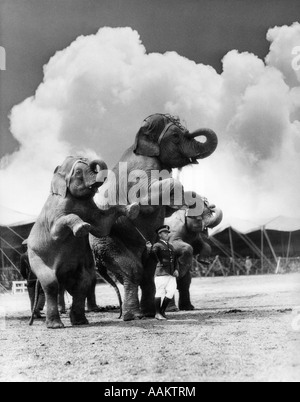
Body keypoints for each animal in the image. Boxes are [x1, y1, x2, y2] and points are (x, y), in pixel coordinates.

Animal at [27, 155, 138, 328]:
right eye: (78, 171)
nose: (91, 161)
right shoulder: (54, 213)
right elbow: (57, 231)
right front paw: (83, 227)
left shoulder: (91, 208)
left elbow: (102, 226)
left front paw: (133, 208)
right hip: (35, 257)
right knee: (51, 284)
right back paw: (56, 325)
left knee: (83, 283)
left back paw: (80, 322)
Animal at [91, 112, 218, 320]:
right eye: (175, 135)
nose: (190, 130)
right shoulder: (142, 169)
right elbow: (150, 194)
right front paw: (134, 207)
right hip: (106, 242)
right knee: (133, 270)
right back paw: (134, 316)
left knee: (147, 273)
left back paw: (148, 312)